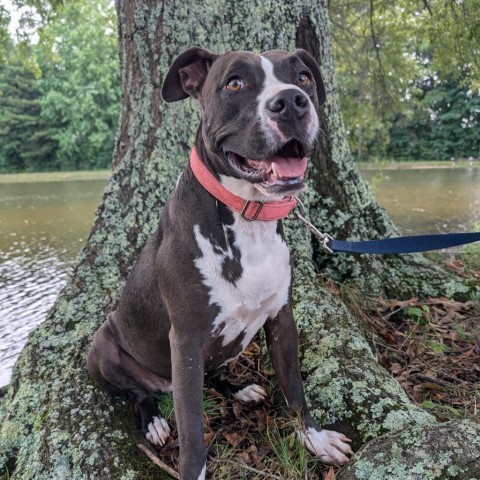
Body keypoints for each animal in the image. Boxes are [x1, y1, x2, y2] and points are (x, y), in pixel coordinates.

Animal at [88, 46, 354, 480]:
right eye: (235, 83)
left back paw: (240, 389)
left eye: (302, 77)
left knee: (213, 376)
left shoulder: (282, 318)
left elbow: (295, 388)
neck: (249, 216)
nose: (292, 101)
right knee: (137, 393)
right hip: (103, 346)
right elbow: (193, 434)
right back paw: (154, 419)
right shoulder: (186, 341)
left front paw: (314, 438)